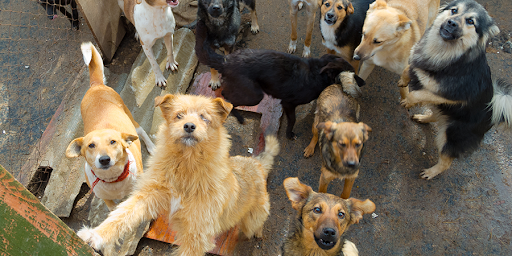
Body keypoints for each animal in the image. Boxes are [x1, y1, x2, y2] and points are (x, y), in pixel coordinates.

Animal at [65, 42, 156, 210]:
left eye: (113, 142)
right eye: (91, 145)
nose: (104, 160)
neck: (114, 180)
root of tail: (96, 86)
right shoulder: (108, 201)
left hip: (131, 119)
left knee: (141, 131)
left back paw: (151, 147)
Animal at [75, 94, 280, 256]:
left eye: (204, 117)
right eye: (178, 115)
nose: (189, 126)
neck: (186, 167)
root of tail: (256, 164)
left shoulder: (196, 236)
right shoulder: (148, 195)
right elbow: (121, 215)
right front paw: (95, 235)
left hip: (252, 220)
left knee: (255, 226)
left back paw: (257, 233)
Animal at [194, 20, 366, 140]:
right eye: (352, 72)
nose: (364, 82)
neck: (318, 73)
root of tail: (226, 61)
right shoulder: (288, 103)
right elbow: (293, 120)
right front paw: (289, 134)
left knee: (226, 94)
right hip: (254, 95)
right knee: (228, 98)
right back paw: (238, 116)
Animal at [304, 71, 372, 199]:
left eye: (358, 144)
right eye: (341, 144)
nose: (352, 164)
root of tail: (338, 84)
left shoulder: (351, 178)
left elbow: (345, 194)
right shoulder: (324, 178)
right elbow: (323, 194)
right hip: (316, 123)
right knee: (315, 135)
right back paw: (310, 148)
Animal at [400, 0, 512, 180]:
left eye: (471, 21)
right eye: (454, 11)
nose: (451, 23)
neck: (445, 54)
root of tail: (493, 111)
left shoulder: (452, 97)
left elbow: (420, 93)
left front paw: (409, 101)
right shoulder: (419, 62)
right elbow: (409, 68)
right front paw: (403, 81)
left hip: (451, 136)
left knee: (446, 162)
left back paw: (430, 173)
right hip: (444, 114)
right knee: (436, 115)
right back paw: (423, 117)